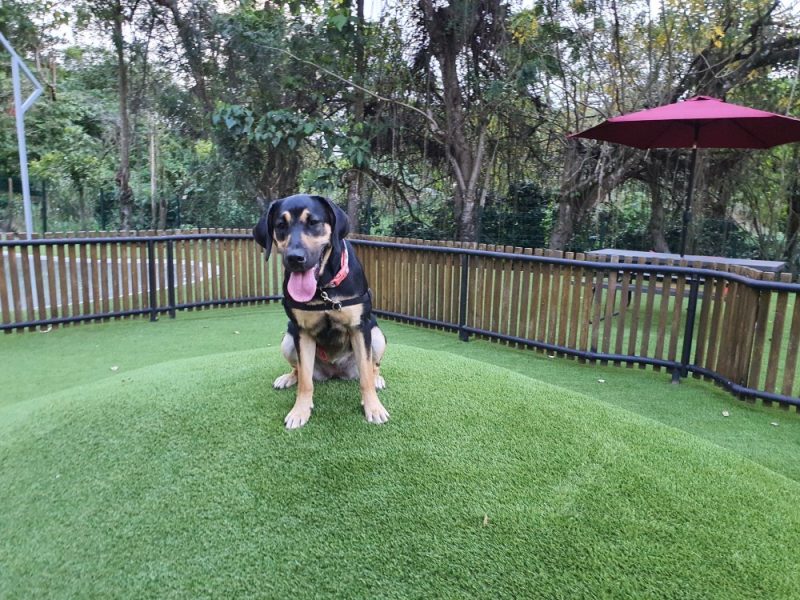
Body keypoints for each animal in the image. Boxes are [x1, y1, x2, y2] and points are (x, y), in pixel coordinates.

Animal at [250, 195, 388, 428]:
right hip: (288, 340)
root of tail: (335, 372)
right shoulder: (302, 332)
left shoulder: (359, 328)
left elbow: (366, 377)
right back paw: (288, 378)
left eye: (313, 222)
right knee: (299, 370)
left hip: (377, 335)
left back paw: (377, 378)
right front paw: (300, 411)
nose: (294, 258)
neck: (323, 288)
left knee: (372, 366)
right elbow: (305, 382)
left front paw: (373, 407)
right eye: (280, 226)